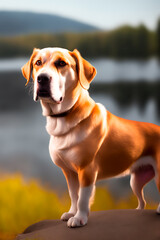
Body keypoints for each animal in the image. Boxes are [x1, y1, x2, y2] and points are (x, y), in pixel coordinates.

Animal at [21, 47, 160, 227]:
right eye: (38, 62)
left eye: (61, 63)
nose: (42, 78)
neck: (64, 118)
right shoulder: (69, 172)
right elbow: (74, 195)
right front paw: (71, 212)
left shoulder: (87, 171)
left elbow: (83, 198)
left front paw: (79, 218)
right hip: (135, 181)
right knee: (142, 201)